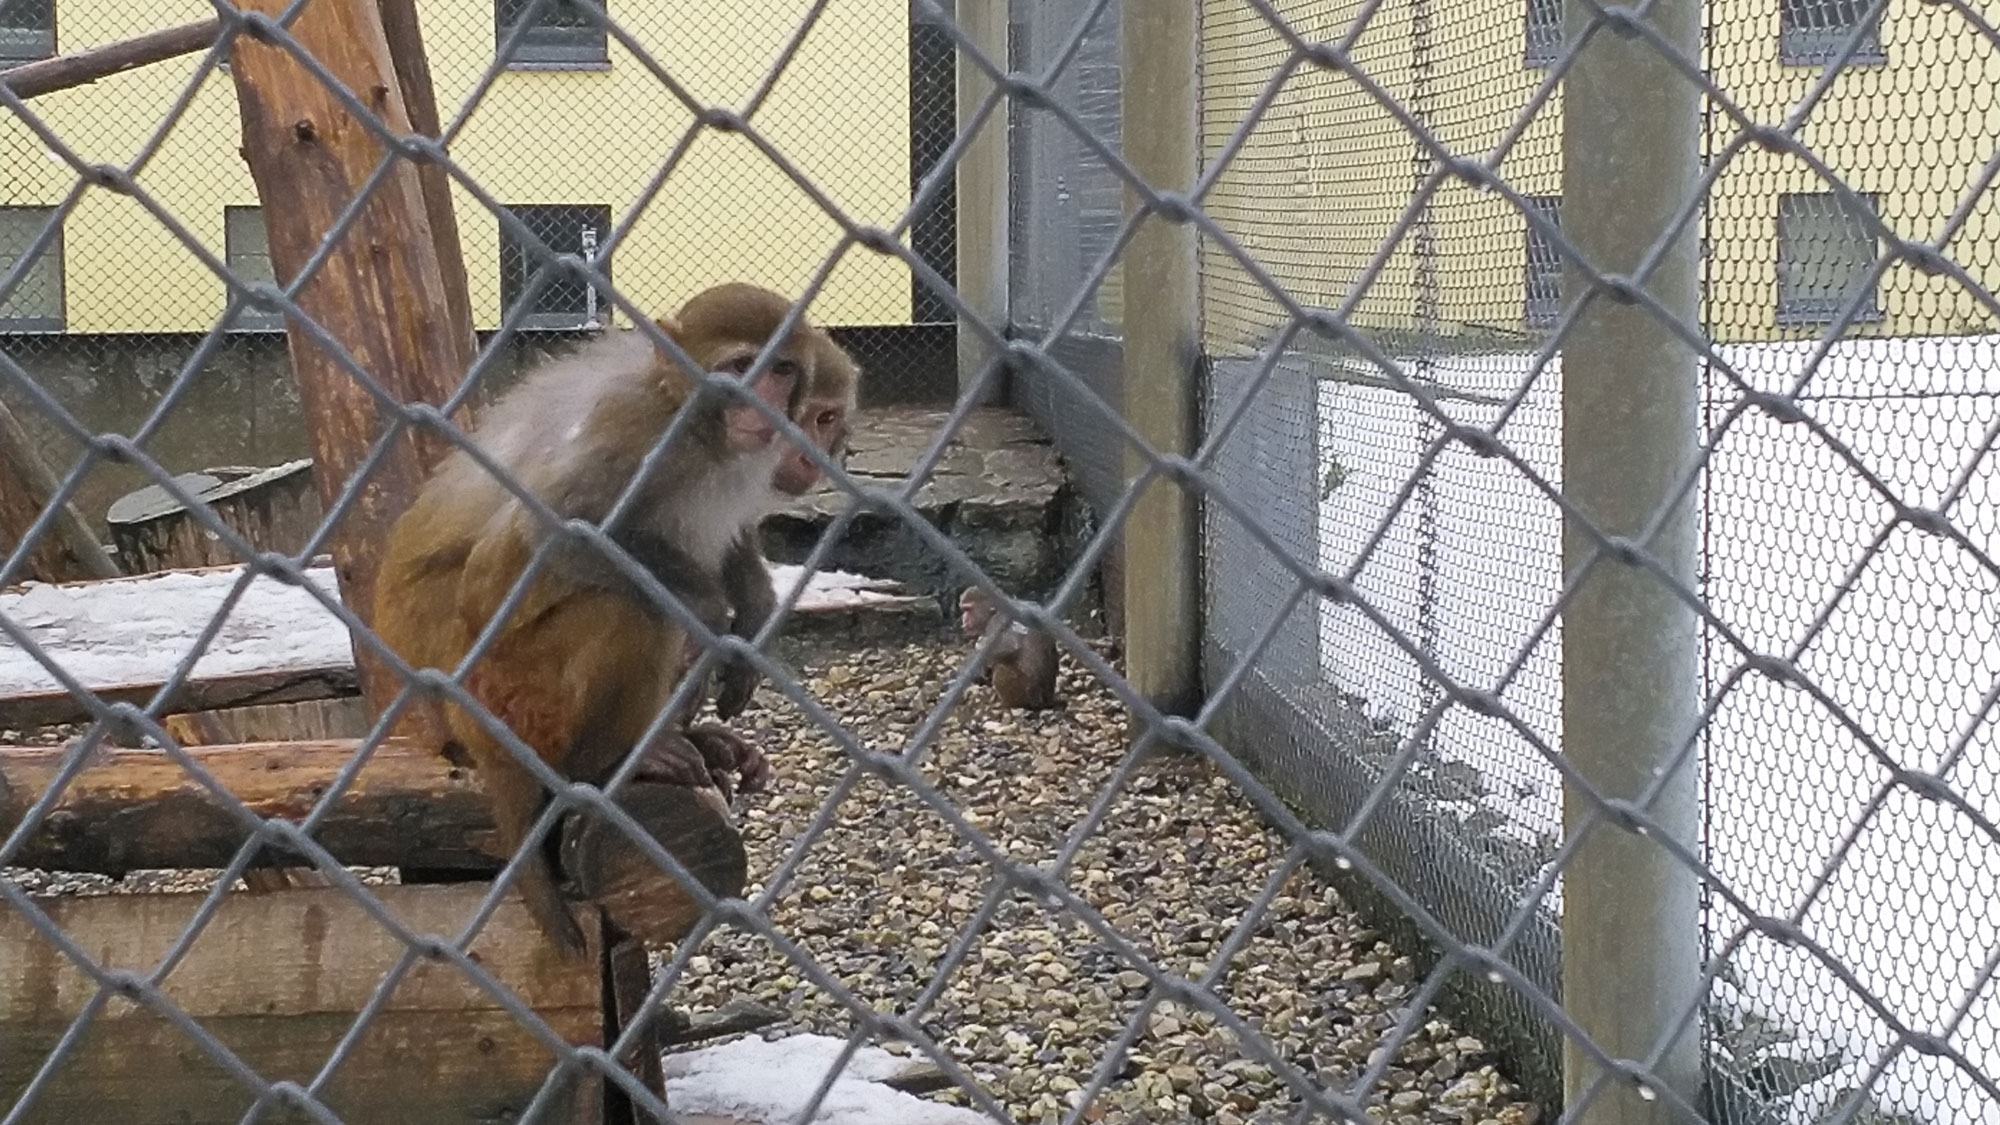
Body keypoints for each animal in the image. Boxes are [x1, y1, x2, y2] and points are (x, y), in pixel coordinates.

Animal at [376, 282, 852, 952]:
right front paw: (709, 612)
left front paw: (751, 617)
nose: (814, 450)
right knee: (626, 611)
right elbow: (556, 532)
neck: (704, 433)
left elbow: (728, 542)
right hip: (512, 694)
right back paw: (606, 763)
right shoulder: (638, 432)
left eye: (781, 372)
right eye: (739, 367)